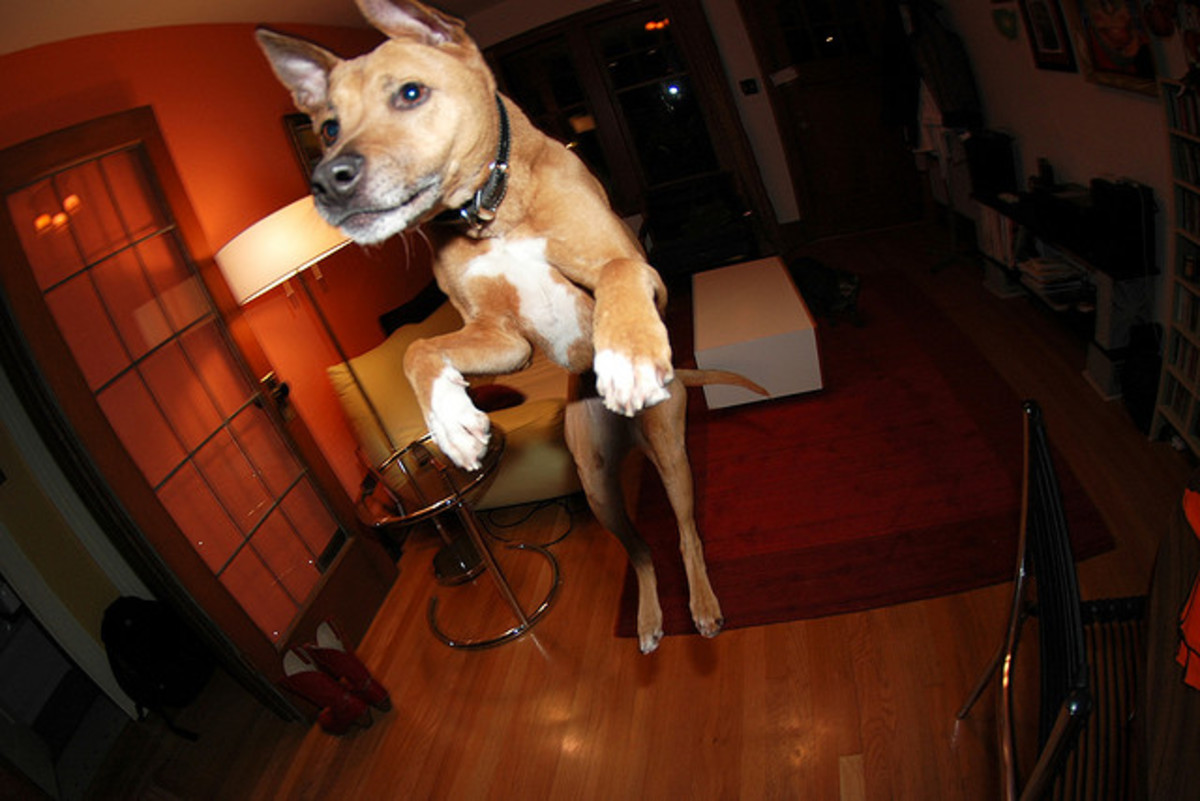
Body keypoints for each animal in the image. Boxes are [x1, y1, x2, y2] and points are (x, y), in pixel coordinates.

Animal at [257, 0, 764, 653]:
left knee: (684, 531)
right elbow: (419, 349)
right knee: (642, 551)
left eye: (410, 93)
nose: (326, 181)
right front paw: (452, 421)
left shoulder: (638, 271)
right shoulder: (503, 339)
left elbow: (621, 269)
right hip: (597, 488)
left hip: (671, 453)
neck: (490, 209)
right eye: (326, 127)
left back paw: (701, 604)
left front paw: (625, 358)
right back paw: (650, 619)